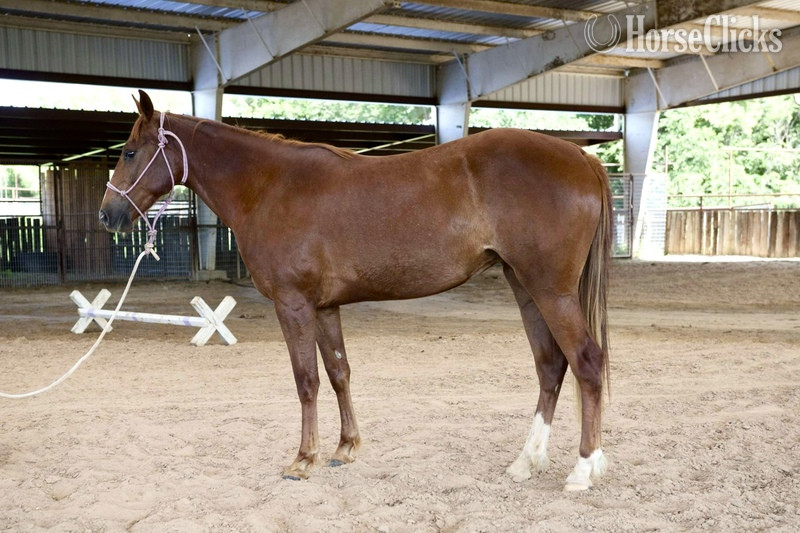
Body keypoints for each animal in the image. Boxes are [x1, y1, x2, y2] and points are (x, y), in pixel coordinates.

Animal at [99, 90, 612, 491]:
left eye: (129, 152)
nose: (108, 214)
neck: (269, 187)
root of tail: (583, 158)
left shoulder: (294, 305)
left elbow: (306, 380)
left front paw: (302, 459)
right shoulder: (326, 307)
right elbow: (338, 373)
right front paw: (345, 448)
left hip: (551, 290)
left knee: (586, 361)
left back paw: (582, 471)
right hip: (524, 286)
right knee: (550, 365)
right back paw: (527, 462)